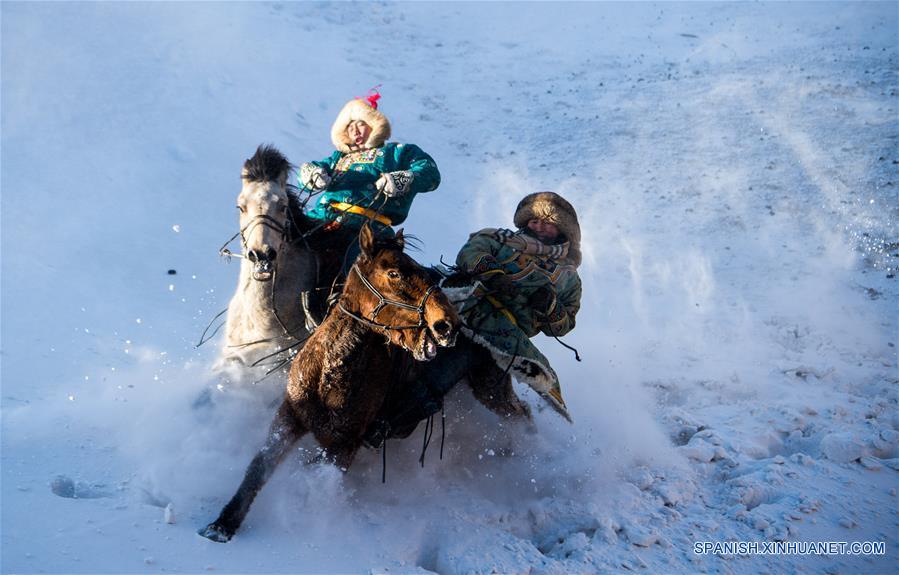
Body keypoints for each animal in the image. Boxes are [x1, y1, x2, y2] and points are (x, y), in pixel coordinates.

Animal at [200, 223, 460, 544]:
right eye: (394, 273)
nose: (447, 324)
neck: (330, 373)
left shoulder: (344, 445)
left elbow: (312, 474)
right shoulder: (289, 416)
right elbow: (259, 467)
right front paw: (222, 524)